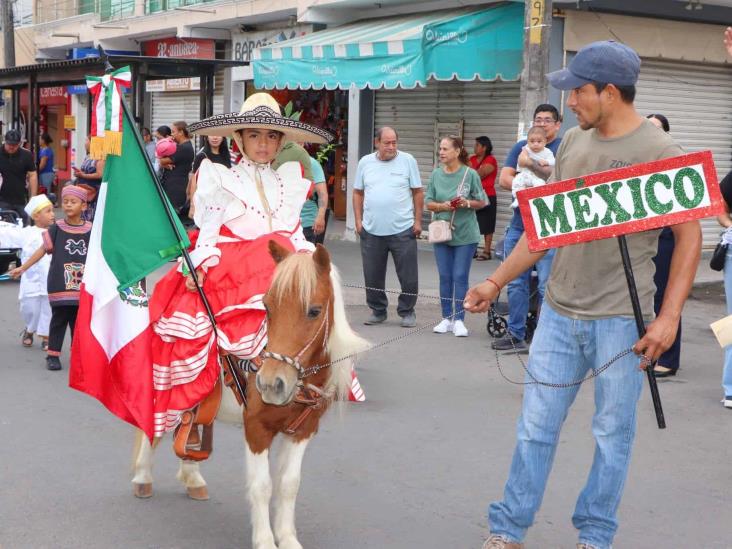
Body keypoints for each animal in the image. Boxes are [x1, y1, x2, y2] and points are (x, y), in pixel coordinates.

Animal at [130, 241, 366, 548]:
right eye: (266, 306)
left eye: (314, 311)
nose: (271, 383)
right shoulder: (256, 428)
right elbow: (262, 486)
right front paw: (265, 540)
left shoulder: (304, 430)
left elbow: (289, 484)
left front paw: (287, 538)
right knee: (153, 429)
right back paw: (142, 476)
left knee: (189, 427)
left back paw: (192, 478)